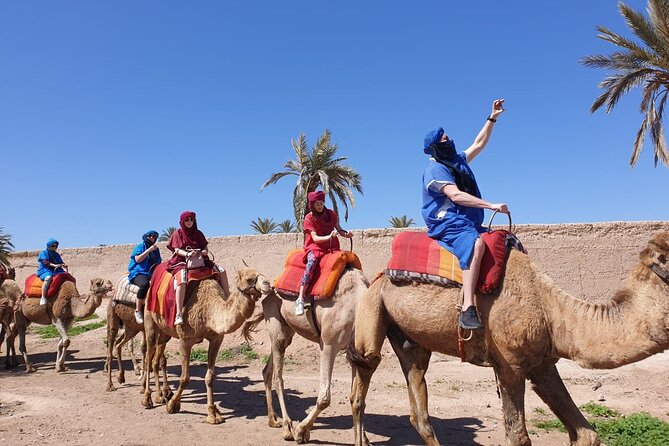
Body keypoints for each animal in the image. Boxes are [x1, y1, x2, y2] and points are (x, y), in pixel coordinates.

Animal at [142, 268, 272, 426]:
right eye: (249, 279)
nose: (267, 284)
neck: (209, 312)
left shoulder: (216, 339)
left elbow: (210, 377)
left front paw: (213, 413)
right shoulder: (185, 340)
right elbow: (184, 378)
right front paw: (173, 405)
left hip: (165, 331)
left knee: (156, 359)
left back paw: (160, 395)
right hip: (149, 320)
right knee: (148, 357)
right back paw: (147, 398)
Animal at [241, 266, 368, 444]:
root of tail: (270, 290)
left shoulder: (354, 355)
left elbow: (356, 399)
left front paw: (364, 439)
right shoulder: (328, 344)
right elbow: (325, 398)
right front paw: (300, 431)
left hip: (288, 329)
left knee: (267, 370)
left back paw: (273, 420)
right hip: (274, 315)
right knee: (278, 376)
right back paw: (287, 427)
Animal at [348, 230, 668, 446]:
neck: (552, 311)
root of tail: (382, 273)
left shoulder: (542, 364)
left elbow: (586, 434)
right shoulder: (510, 365)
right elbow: (519, 437)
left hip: (411, 340)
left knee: (419, 403)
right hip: (372, 305)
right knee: (364, 371)